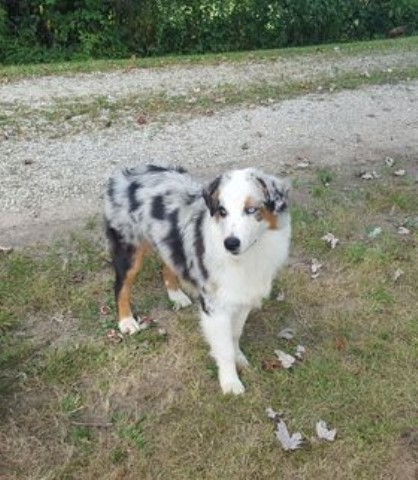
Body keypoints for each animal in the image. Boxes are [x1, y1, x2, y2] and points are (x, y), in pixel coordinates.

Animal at [105, 165, 290, 394]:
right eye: (222, 211)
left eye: (251, 209)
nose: (230, 243)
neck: (248, 255)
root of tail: (128, 171)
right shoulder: (215, 307)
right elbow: (224, 348)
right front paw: (230, 383)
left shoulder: (242, 296)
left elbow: (235, 334)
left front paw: (239, 358)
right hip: (129, 249)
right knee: (121, 286)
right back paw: (127, 322)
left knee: (167, 265)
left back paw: (176, 295)